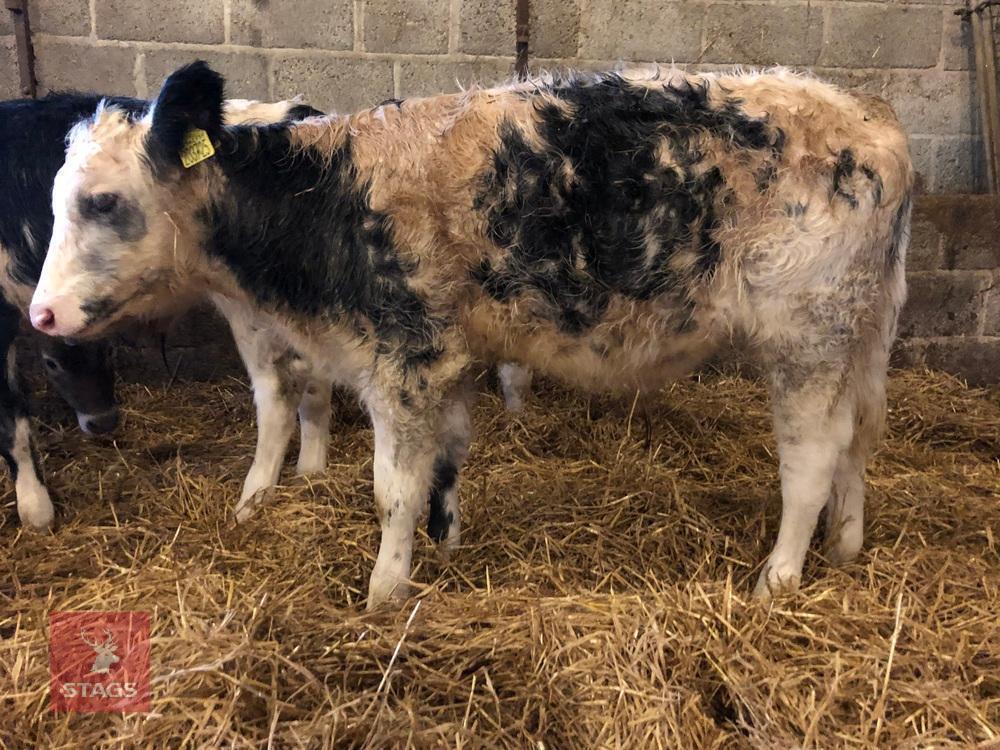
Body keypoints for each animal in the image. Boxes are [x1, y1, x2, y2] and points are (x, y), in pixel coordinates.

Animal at [0, 91, 329, 529]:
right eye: (52, 365)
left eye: (102, 202)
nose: (102, 422)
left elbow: (12, 422)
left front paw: (35, 509)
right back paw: (309, 472)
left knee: (280, 389)